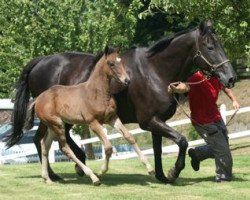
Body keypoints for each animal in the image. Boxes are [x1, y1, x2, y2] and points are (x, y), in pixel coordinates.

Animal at [6, 21, 236, 184]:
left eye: (221, 45)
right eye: (209, 47)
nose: (230, 78)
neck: (155, 71)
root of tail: (40, 62)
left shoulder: (156, 122)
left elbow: (159, 149)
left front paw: (161, 175)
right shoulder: (149, 121)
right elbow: (182, 141)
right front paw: (174, 171)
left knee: (45, 139)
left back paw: (64, 170)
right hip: (56, 117)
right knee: (44, 140)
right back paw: (62, 172)